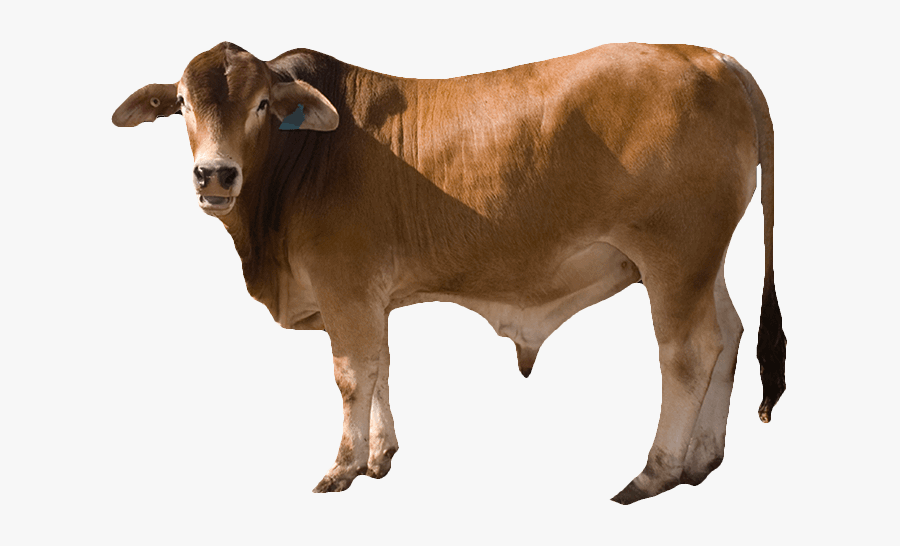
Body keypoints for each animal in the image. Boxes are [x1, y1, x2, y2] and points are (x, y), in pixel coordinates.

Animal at [112, 42, 786, 504]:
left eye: (260, 104)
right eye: (181, 103)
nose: (215, 174)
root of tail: (712, 58)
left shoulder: (344, 286)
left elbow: (352, 375)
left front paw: (342, 468)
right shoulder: (370, 298)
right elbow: (380, 366)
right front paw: (380, 455)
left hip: (674, 256)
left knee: (688, 353)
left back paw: (655, 472)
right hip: (705, 261)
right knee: (728, 336)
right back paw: (701, 461)